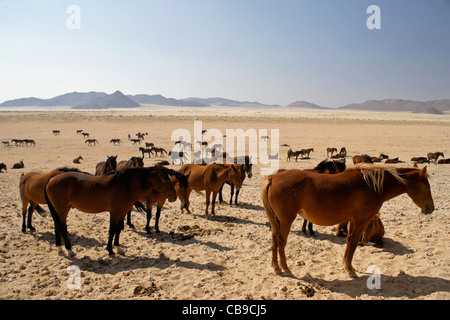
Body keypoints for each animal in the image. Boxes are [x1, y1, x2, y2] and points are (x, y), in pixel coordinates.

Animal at [43, 166, 178, 256]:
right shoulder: (114, 212)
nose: (174, 196)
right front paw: (110, 249)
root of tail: (51, 179)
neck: (124, 185)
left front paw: (118, 248)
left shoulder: (122, 212)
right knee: (62, 226)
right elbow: (112, 230)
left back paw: (60, 248)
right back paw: (69, 249)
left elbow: (118, 229)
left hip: (59, 209)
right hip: (62, 209)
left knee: (57, 225)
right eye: (165, 179)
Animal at [262, 165, 434, 278]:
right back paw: (285, 268)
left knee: (274, 240)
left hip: (277, 221)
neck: (371, 186)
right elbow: (353, 243)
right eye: (426, 186)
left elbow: (350, 242)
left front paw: (346, 265)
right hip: (286, 220)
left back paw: (276, 267)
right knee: (281, 242)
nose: (431, 208)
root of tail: (273, 177)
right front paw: (350, 269)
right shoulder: (361, 221)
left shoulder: (353, 221)